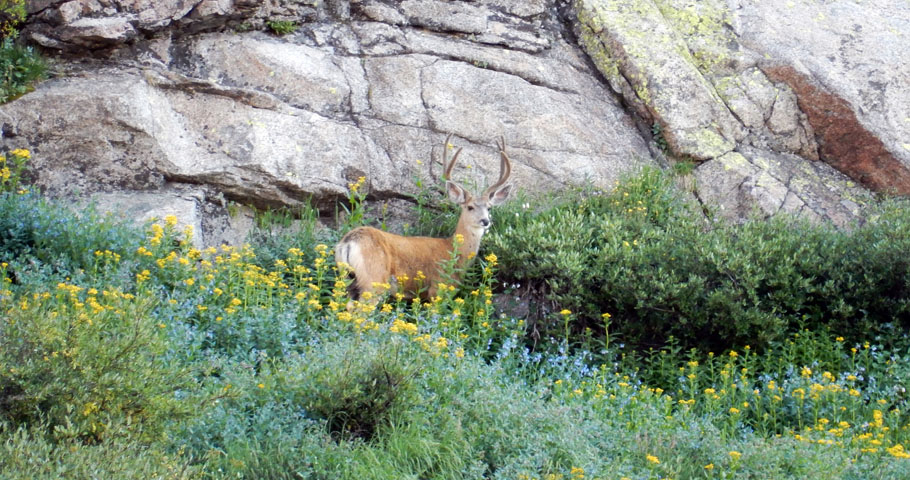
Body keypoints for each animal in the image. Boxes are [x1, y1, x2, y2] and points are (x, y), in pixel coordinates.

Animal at [334, 134, 516, 304]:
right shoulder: (438, 288)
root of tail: (349, 242)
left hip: (348, 280)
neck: (454, 251)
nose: (485, 221)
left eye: (489, 208)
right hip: (374, 279)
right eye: (470, 207)